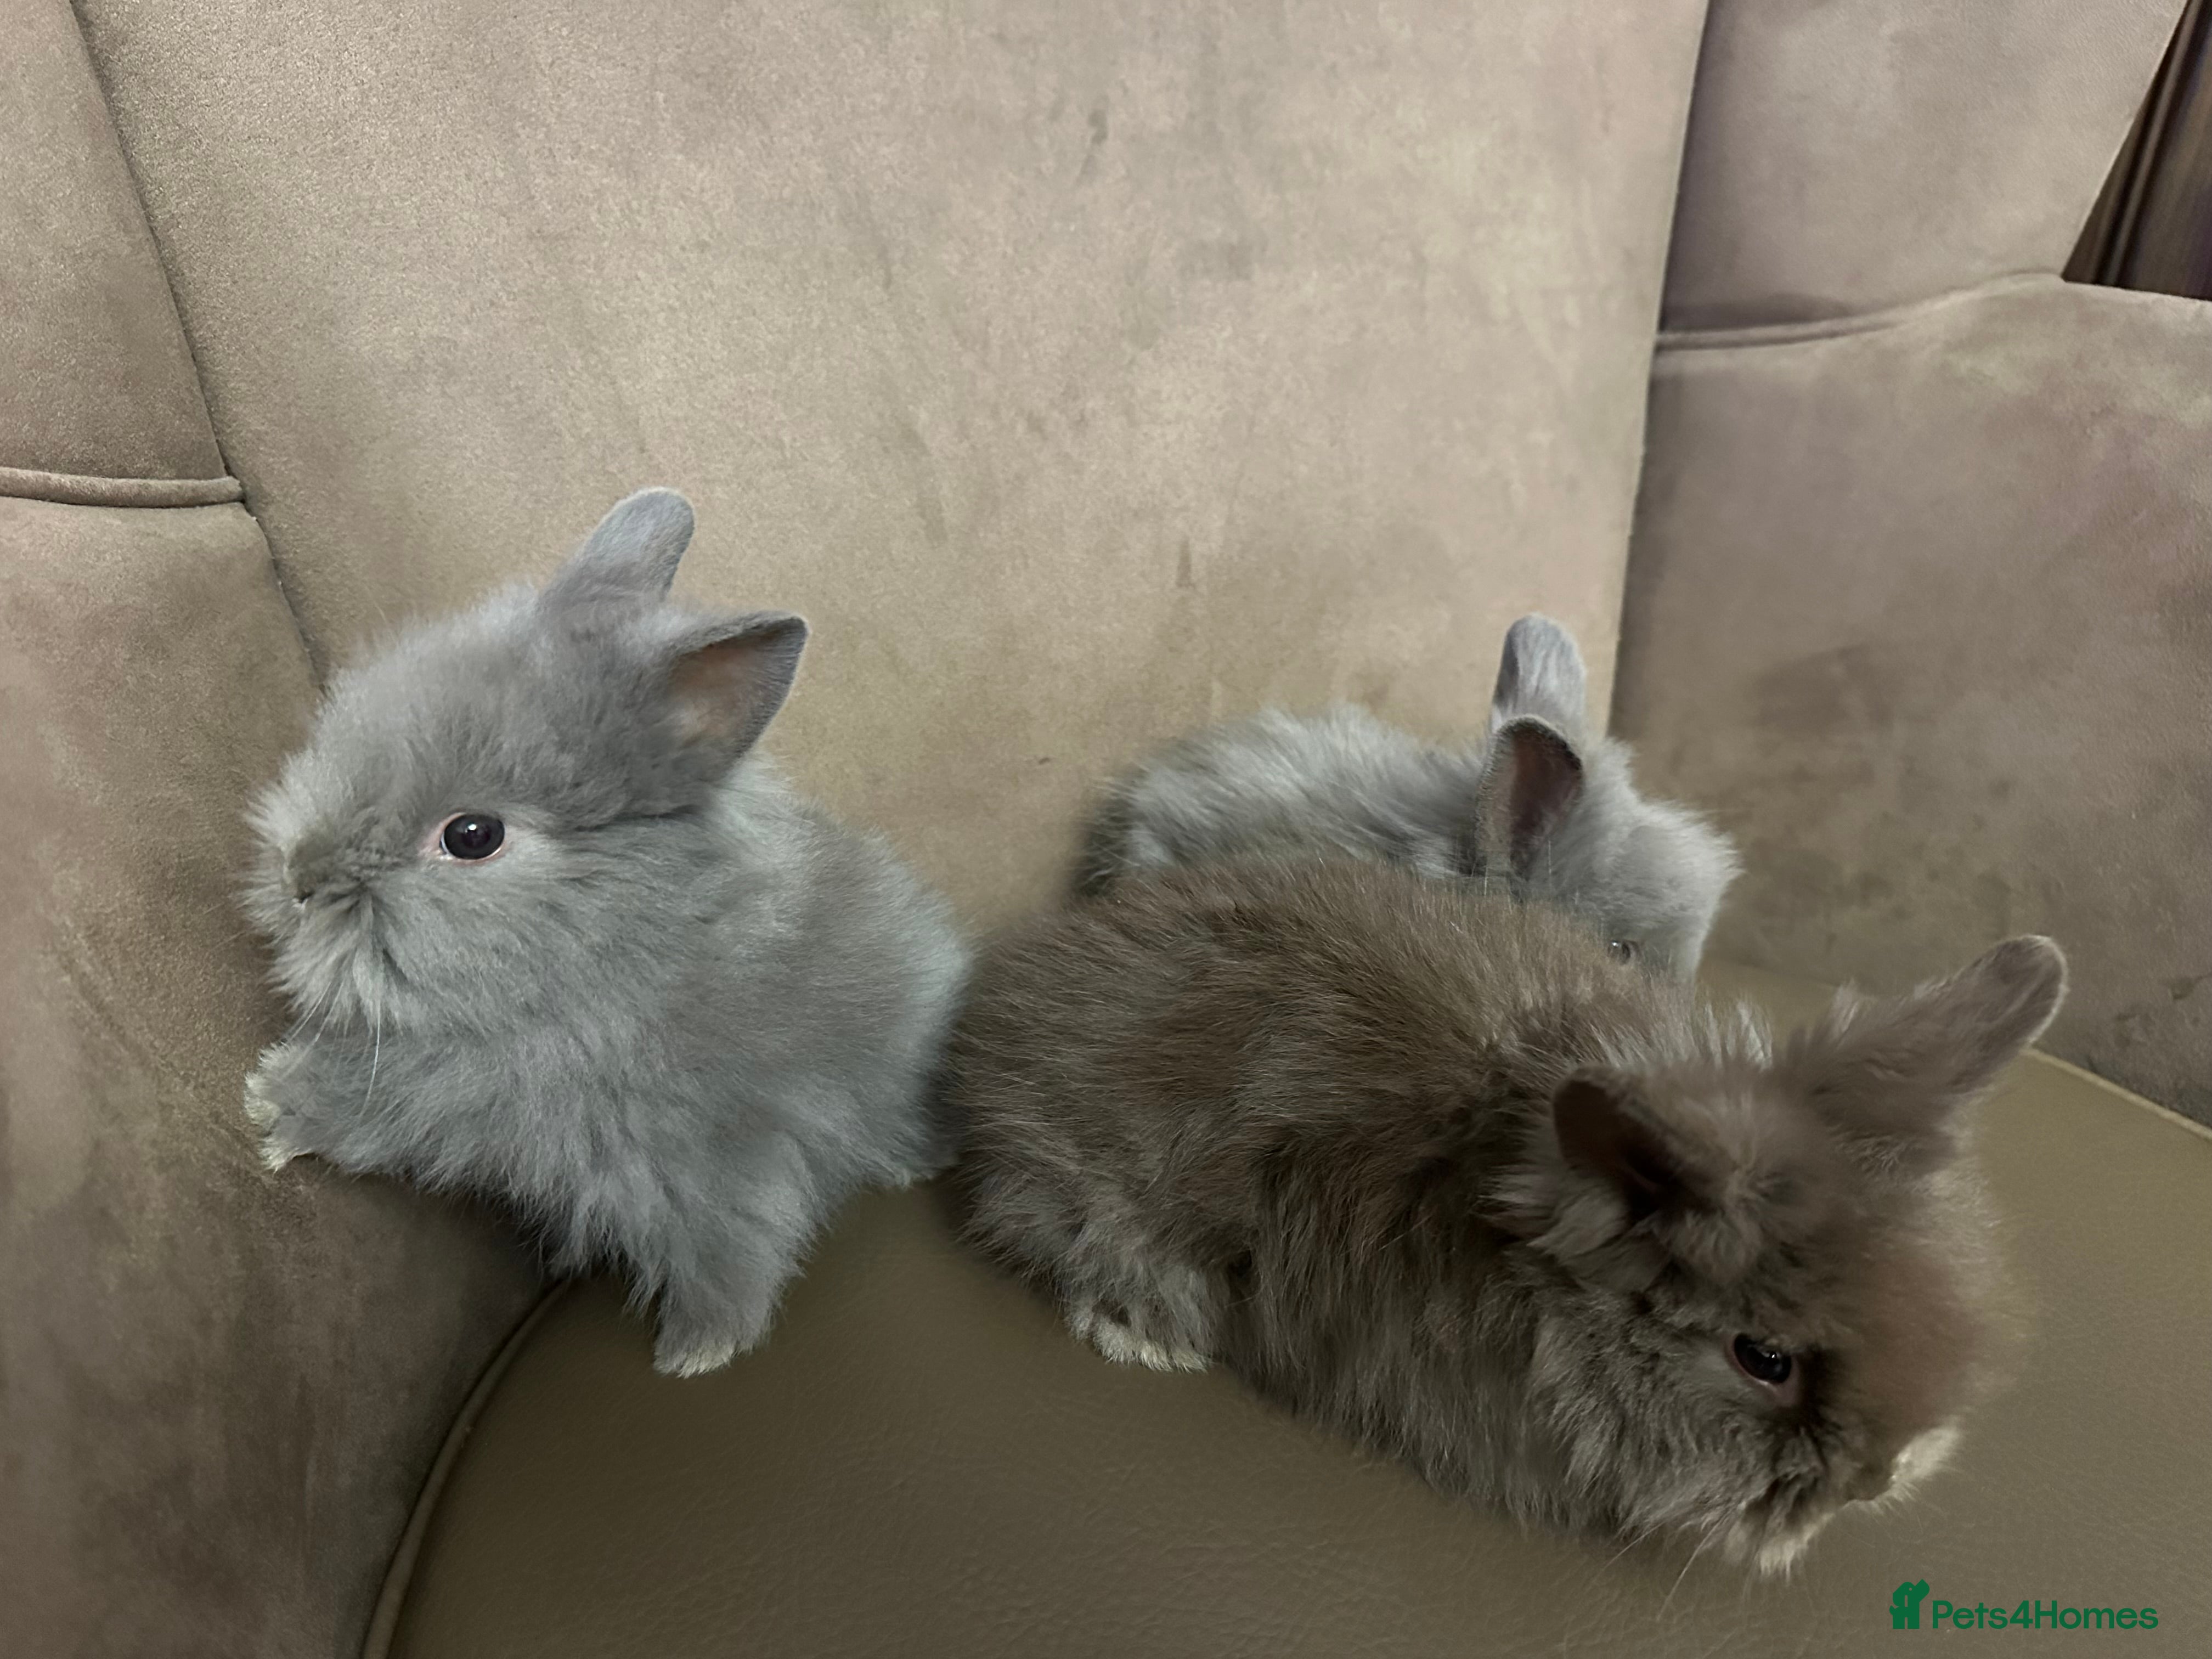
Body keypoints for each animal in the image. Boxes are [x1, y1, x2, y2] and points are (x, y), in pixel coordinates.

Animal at [241, 488, 969, 1376]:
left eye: (473, 836)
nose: (299, 880)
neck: (611, 949)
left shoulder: (722, 1156)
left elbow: (736, 1249)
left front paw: (698, 1352)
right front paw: (273, 1100)